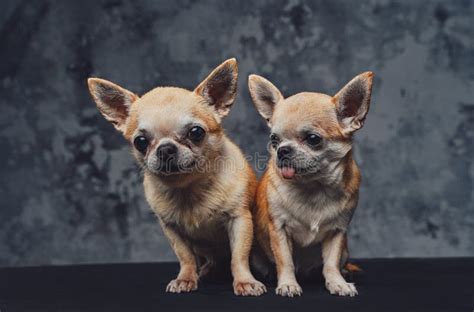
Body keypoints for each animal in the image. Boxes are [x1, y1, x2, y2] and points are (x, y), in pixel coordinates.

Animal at [88, 59, 266, 298]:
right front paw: (186, 279)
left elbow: (239, 256)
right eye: (140, 142)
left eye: (196, 133)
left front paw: (245, 282)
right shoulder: (172, 229)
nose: (165, 149)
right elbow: (185, 257)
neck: (189, 188)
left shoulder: (239, 221)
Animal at [248, 72, 374, 296]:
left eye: (313, 139)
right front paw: (288, 284)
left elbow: (331, 263)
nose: (282, 150)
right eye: (274, 140)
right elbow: (285, 261)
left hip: (345, 250)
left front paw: (337, 283)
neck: (314, 187)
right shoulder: (279, 230)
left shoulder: (337, 232)